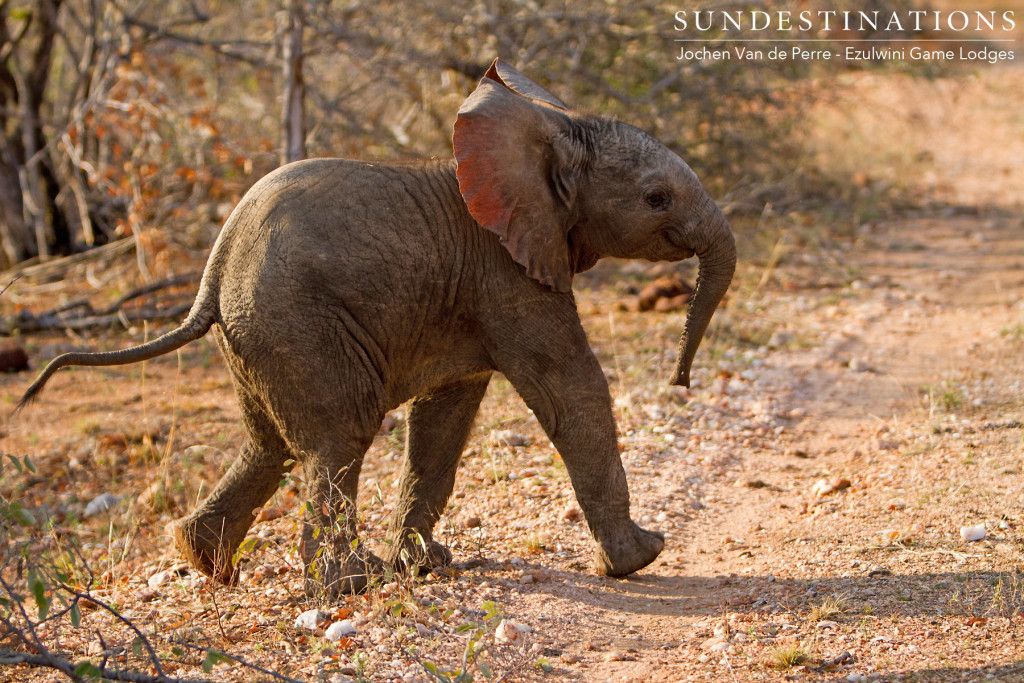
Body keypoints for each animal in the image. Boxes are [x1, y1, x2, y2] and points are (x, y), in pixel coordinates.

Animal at [19, 58, 733, 593]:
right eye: (656, 199)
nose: (681, 381)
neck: (547, 130)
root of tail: (212, 274)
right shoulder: (506, 272)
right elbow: (571, 391)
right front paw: (641, 558)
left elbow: (443, 423)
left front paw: (426, 566)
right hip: (296, 323)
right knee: (339, 435)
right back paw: (350, 583)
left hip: (255, 338)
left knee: (272, 446)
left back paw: (206, 561)